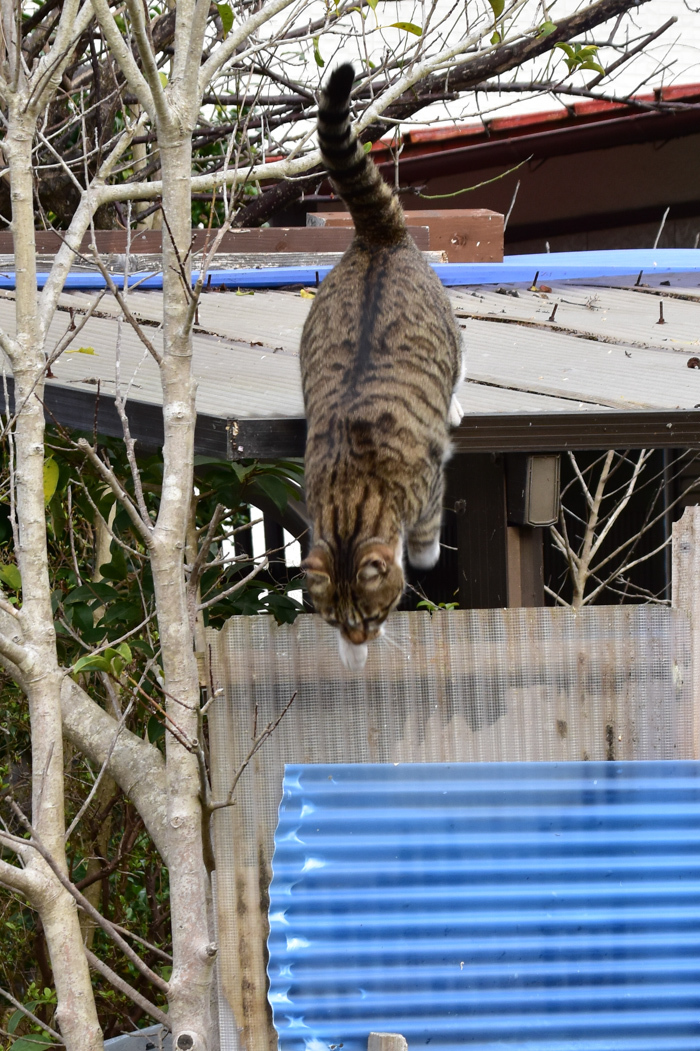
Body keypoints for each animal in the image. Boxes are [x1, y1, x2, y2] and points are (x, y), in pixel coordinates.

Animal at [300, 63, 462, 672]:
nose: (359, 637)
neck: (352, 490)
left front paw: (425, 552)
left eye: (372, 617)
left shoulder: (431, 480)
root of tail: (377, 237)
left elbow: (427, 530)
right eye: (335, 620)